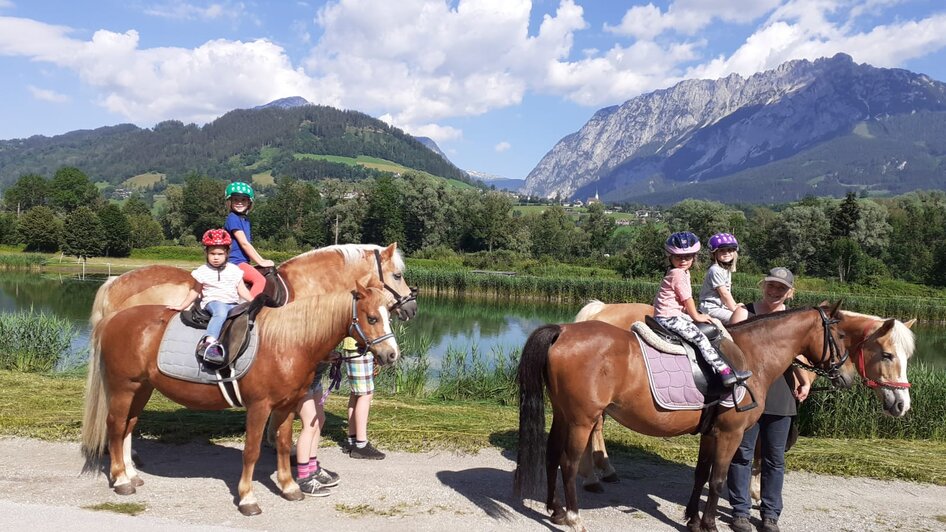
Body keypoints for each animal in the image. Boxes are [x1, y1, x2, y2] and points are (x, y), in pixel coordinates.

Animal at [512, 304, 852, 532]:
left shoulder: (711, 433)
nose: (848, 376)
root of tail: (563, 330)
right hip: (581, 420)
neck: (750, 354)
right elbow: (717, 480)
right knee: (568, 464)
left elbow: (701, 474)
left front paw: (692, 519)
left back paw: (555, 511)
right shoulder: (730, 433)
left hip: (563, 415)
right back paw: (573, 517)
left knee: (551, 456)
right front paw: (710, 523)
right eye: (840, 334)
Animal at [572, 300, 912, 494]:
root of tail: (600, 308)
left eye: (908, 356)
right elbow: (756, 455)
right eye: (887, 354)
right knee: (594, 427)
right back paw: (595, 475)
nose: (902, 405)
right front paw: (753, 493)